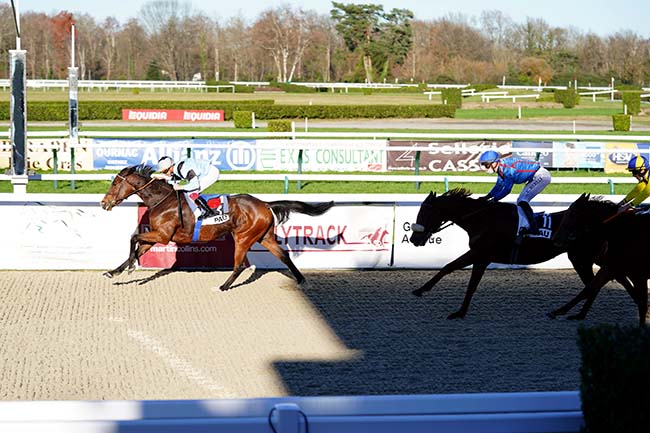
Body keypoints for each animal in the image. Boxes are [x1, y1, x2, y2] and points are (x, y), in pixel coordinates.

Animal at [100, 164, 334, 291]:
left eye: (115, 184)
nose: (104, 203)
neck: (161, 200)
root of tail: (265, 204)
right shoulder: (157, 236)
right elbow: (138, 245)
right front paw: (114, 271)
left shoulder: (163, 236)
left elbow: (134, 239)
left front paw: (131, 266)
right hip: (264, 236)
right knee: (284, 256)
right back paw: (301, 280)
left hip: (243, 237)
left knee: (239, 266)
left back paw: (223, 286)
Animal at [408, 188, 634, 320]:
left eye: (425, 212)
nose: (413, 239)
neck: (483, 219)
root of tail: (603, 222)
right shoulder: (481, 256)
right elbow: (464, 279)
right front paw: (457, 310)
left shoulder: (480, 253)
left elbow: (453, 270)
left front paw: (425, 292)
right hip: (596, 257)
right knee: (609, 280)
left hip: (581, 258)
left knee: (593, 285)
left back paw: (576, 314)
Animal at [549, 193, 649, 326]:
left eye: (573, 213)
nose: (556, 239)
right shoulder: (615, 269)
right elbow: (591, 287)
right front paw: (570, 313)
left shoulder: (633, 273)